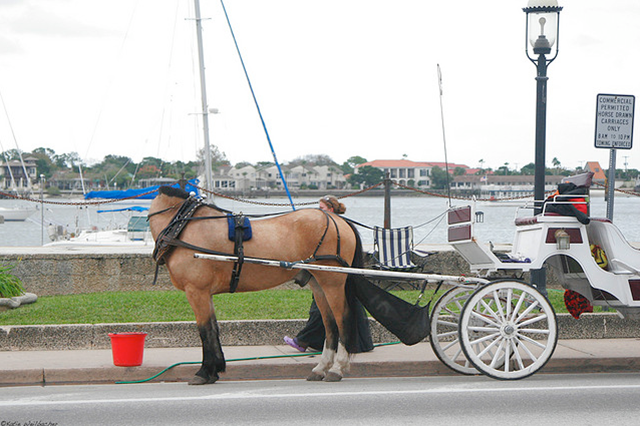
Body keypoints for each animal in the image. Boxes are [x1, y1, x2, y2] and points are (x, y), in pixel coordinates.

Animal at [148, 186, 430, 385]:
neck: (182, 226)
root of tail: (337, 220)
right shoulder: (204, 293)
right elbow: (214, 330)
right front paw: (216, 368)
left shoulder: (196, 290)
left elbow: (205, 331)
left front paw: (205, 372)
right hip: (318, 283)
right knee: (329, 324)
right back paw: (321, 368)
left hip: (332, 281)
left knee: (342, 320)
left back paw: (338, 368)